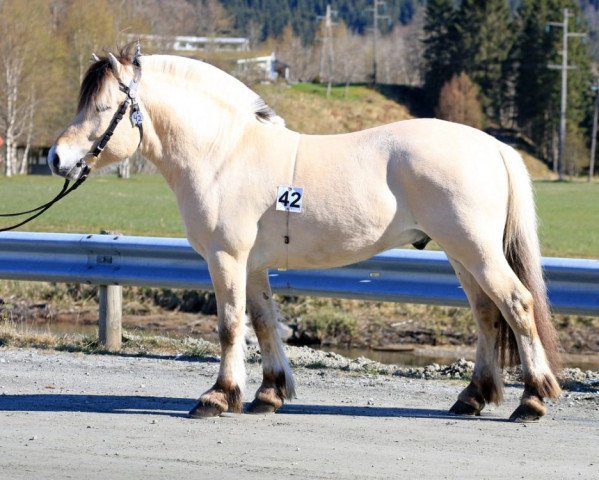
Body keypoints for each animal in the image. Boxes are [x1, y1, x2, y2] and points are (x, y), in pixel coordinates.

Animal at [48, 45, 564, 420]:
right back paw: (472, 397)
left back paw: (532, 400)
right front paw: (268, 393)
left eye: (104, 107)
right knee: (486, 314)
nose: (56, 157)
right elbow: (262, 322)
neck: (223, 152)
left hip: (476, 252)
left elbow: (229, 325)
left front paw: (218, 396)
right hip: (461, 254)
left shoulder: (225, 258)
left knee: (517, 305)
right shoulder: (251, 265)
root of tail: (494, 146)